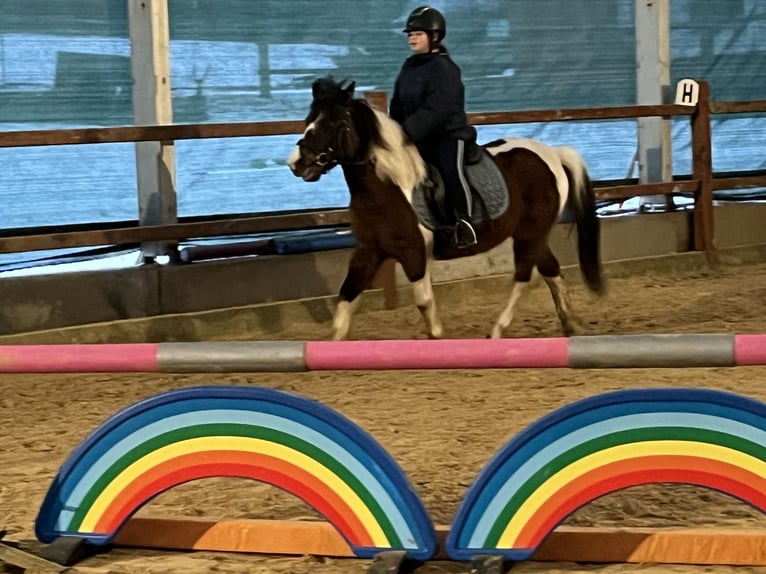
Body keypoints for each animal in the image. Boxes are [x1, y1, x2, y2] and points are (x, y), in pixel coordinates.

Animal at [288, 77, 605, 340]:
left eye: (333, 123)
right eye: (309, 120)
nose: (296, 164)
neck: (386, 187)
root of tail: (552, 153)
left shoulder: (414, 252)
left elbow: (423, 300)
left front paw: (437, 335)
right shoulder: (368, 252)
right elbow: (346, 298)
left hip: (530, 232)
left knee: (525, 277)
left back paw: (497, 330)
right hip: (532, 234)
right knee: (550, 270)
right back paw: (569, 324)